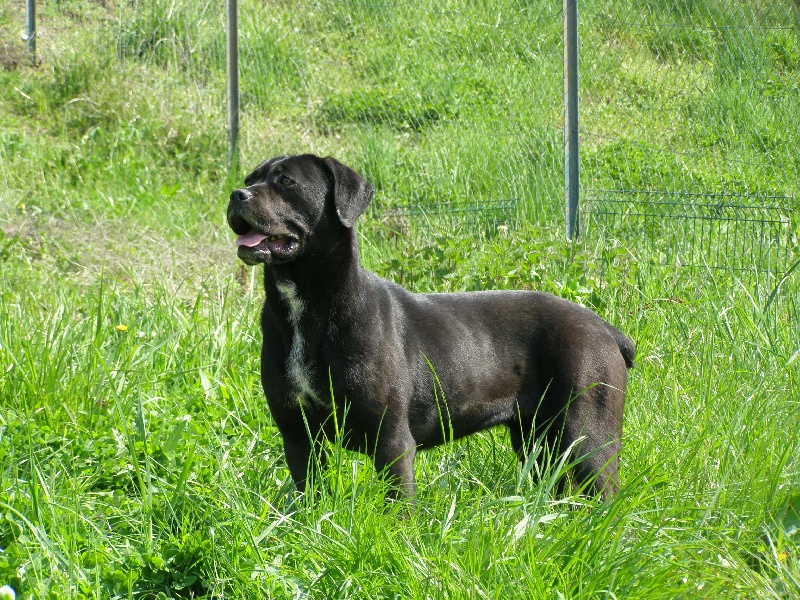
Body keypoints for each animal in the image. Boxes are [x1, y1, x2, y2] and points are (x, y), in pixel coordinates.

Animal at [228, 155, 636, 502]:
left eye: (286, 181)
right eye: (250, 179)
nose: (236, 194)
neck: (309, 305)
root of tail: (606, 328)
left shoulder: (392, 440)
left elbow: (398, 508)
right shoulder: (298, 436)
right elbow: (310, 498)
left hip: (588, 436)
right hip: (536, 439)